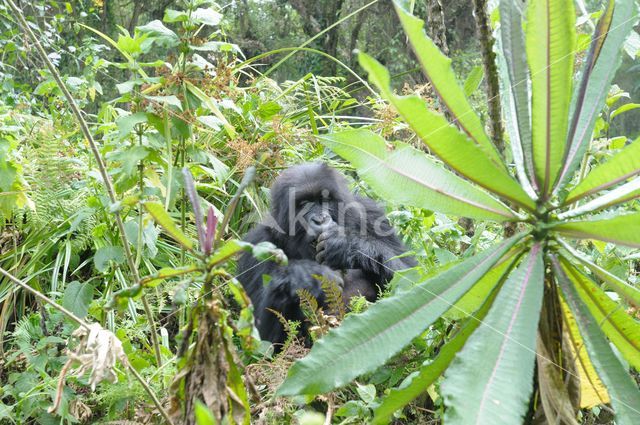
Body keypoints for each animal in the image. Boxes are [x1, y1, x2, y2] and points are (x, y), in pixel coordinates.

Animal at [238, 161, 418, 344]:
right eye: (304, 204)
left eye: (324, 200)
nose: (320, 220)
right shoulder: (256, 243)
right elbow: (263, 340)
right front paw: (306, 277)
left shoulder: (372, 214)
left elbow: (410, 276)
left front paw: (346, 245)